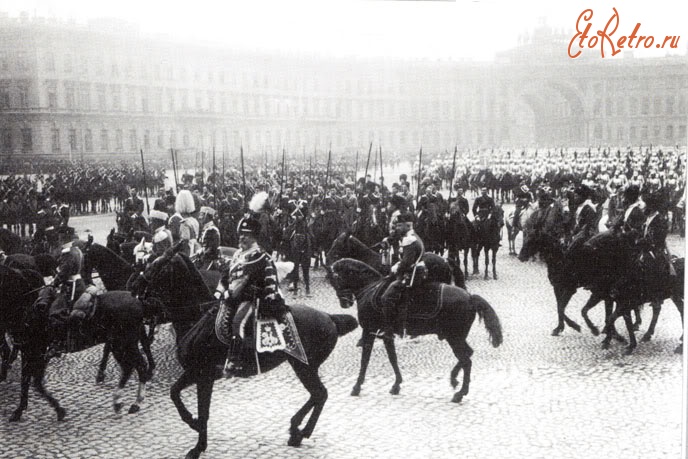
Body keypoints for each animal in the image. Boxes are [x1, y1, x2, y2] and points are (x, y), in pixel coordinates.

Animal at [127, 246, 360, 458]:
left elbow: (202, 411)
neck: (198, 318)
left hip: (305, 366)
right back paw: (296, 428)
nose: (133, 286)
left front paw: (198, 445)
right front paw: (193, 425)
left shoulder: (204, 375)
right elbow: (175, 393)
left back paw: (301, 432)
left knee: (320, 394)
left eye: (156, 265)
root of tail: (330, 317)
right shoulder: (194, 373)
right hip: (304, 366)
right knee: (317, 395)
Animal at [326, 260, 502, 404]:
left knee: (466, 360)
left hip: (454, 338)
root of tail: (470, 297)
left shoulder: (369, 331)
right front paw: (396, 384)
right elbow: (393, 358)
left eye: (334, 280)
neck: (370, 288)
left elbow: (365, 360)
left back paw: (459, 393)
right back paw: (454, 380)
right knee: (468, 354)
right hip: (456, 337)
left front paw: (356, 387)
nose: (344, 303)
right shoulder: (385, 335)